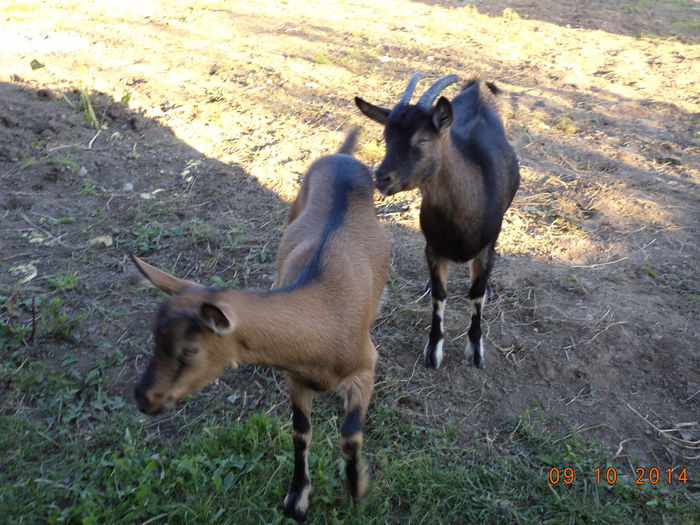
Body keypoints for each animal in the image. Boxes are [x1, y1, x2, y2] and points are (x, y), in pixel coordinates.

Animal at [131, 129, 392, 516]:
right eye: (154, 337)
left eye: (190, 350)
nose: (143, 398)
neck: (323, 317)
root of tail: (343, 156)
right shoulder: (295, 378)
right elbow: (300, 434)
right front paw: (297, 497)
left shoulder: (365, 365)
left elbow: (350, 435)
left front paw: (357, 487)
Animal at [356, 72, 520, 368]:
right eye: (386, 135)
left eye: (422, 139)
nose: (382, 178)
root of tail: (479, 86)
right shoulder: (433, 248)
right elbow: (439, 295)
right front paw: (433, 350)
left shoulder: (486, 247)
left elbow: (476, 295)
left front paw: (475, 351)